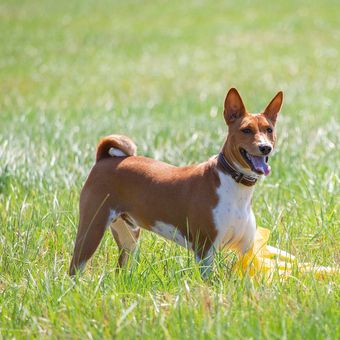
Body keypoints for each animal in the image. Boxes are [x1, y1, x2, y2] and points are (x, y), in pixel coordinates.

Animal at [68, 89, 282, 278]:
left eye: (269, 130)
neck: (235, 185)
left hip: (129, 237)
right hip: (92, 230)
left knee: (121, 269)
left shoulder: (246, 250)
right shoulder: (205, 250)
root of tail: (104, 159)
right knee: (74, 268)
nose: (265, 147)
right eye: (246, 130)